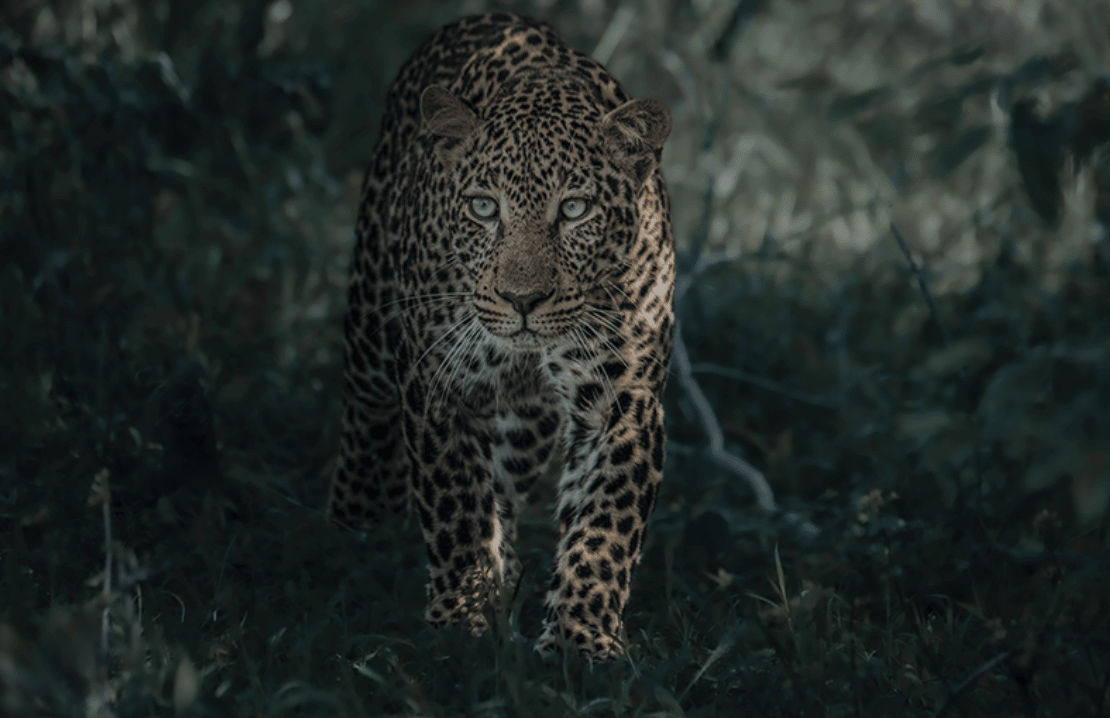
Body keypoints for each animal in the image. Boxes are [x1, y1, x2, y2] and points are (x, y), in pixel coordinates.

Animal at [326, 12, 674, 661]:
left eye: (575, 209)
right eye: (485, 208)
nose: (522, 300)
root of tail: (489, 15)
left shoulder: (625, 399)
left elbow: (605, 522)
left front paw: (578, 642)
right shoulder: (437, 384)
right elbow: (456, 508)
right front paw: (462, 629)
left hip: (528, 420)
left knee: (506, 487)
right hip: (370, 326)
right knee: (366, 417)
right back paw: (352, 538)